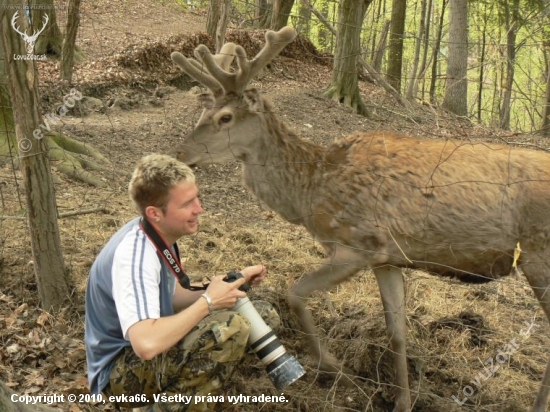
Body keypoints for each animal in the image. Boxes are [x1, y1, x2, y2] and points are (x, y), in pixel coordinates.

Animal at [171, 27, 550, 410]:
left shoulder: (358, 243)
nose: (179, 152)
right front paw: (401, 401)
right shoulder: (388, 258)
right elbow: (397, 333)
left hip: (539, 254)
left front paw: (335, 368)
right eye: (203, 112)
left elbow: (295, 293)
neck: (310, 190)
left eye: (225, 117)